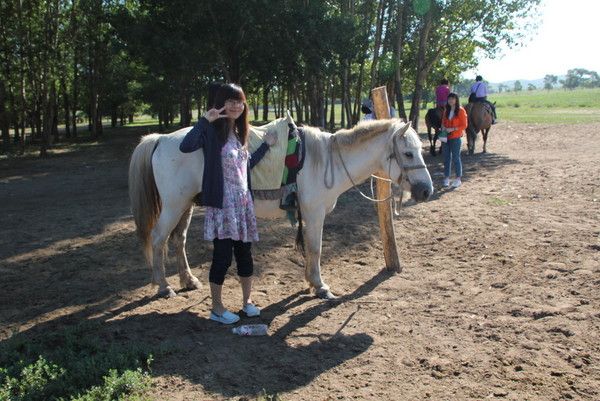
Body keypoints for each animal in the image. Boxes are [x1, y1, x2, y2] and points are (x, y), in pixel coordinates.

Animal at [129, 115, 434, 296]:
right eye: (408, 153)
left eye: (420, 149)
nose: (426, 190)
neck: (327, 161)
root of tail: (161, 139)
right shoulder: (314, 213)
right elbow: (316, 248)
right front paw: (320, 286)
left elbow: (310, 249)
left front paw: (310, 282)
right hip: (174, 205)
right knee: (158, 239)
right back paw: (163, 287)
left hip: (187, 204)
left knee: (177, 240)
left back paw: (188, 280)